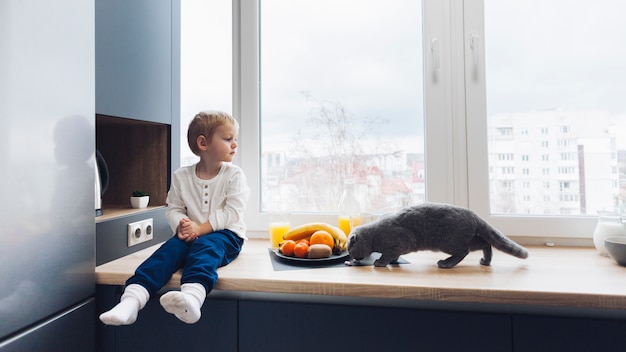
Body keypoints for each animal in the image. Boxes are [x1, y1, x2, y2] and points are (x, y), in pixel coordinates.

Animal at [346, 202, 528, 268]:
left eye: (350, 249)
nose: (352, 258)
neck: (373, 236)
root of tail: (473, 214)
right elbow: (394, 255)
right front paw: (393, 261)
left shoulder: (402, 241)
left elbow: (389, 253)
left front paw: (380, 262)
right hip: (464, 239)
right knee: (485, 243)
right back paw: (485, 261)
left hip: (448, 242)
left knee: (463, 252)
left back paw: (445, 263)